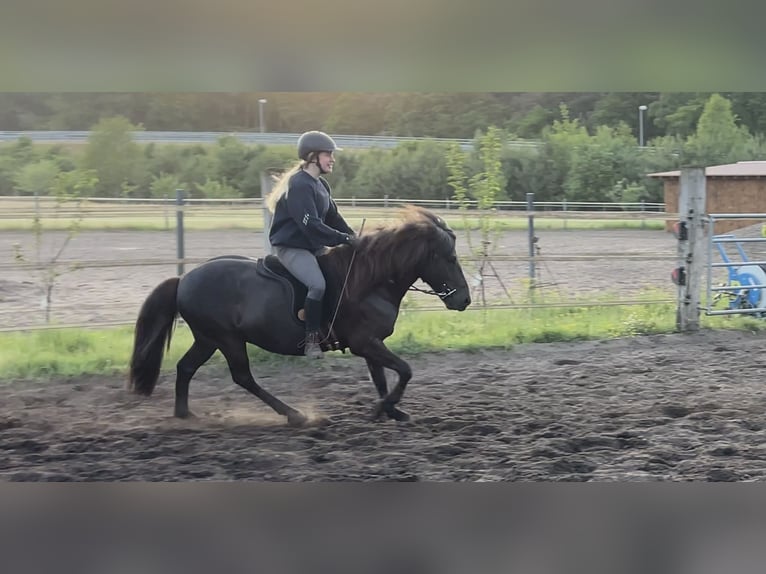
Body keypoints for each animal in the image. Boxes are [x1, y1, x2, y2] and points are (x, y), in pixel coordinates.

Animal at [129, 207, 472, 428]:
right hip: (226, 339)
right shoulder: (365, 343)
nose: (464, 300)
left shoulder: (371, 344)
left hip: (207, 339)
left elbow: (382, 379)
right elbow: (405, 371)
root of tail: (184, 279)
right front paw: (384, 409)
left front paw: (390, 411)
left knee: (186, 368)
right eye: (450, 257)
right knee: (242, 377)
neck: (370, 280)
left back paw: (184, 415)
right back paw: (295, 415)